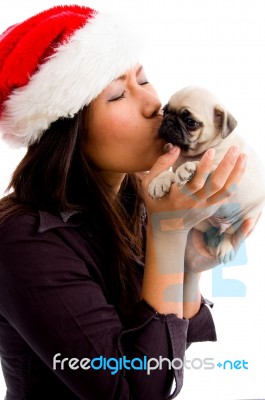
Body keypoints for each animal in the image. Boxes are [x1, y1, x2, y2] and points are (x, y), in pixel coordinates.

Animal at [148, 86, 264, 264]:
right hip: (202, 223)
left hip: (247, 217)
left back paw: (225, 247)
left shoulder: (222, 165)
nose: (168, 121)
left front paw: (188, 168)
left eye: (190, 122)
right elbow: (171, 174)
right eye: (165, 111)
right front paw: (160, 180)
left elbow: (198, 165)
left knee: (229, 233)